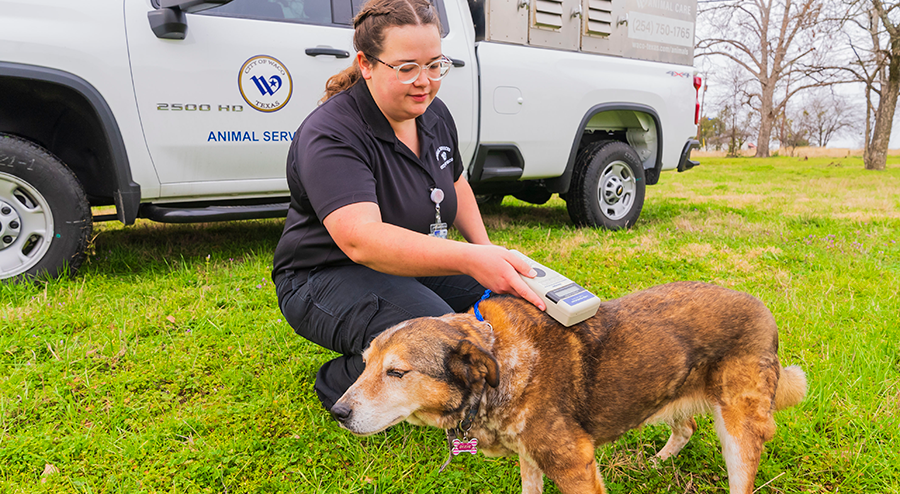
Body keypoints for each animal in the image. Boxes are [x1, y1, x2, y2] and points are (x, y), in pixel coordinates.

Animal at [330, 282, 808, 494]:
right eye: (365, 364)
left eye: (397, 373)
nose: (337, 413)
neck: (500, 362)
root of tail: (765, 311)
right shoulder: (531, 459)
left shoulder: (575, 467)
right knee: (686, 426)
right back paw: (658, 460)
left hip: (739, 428)